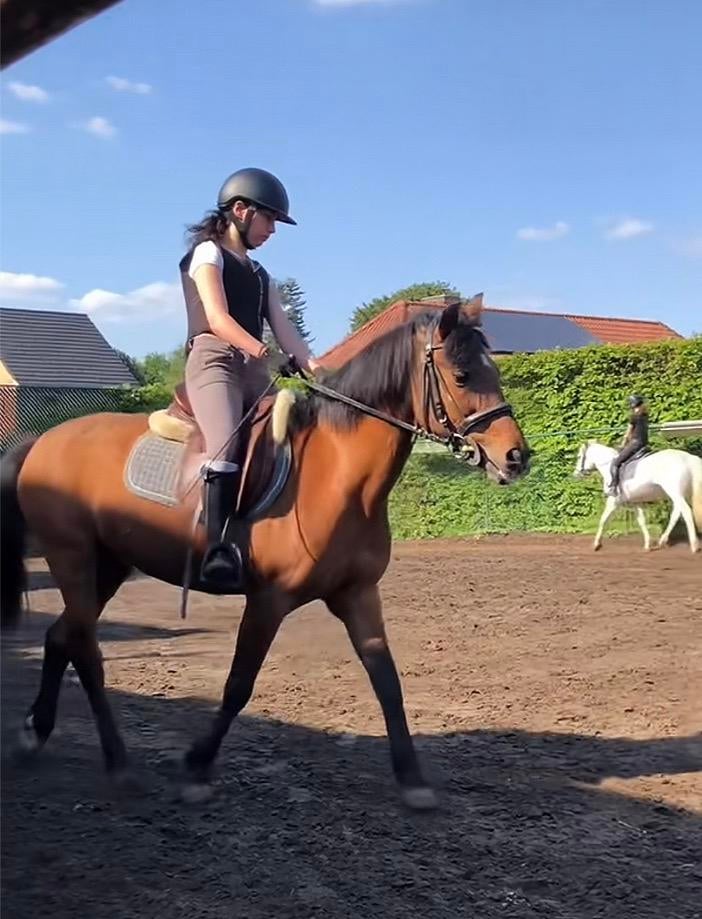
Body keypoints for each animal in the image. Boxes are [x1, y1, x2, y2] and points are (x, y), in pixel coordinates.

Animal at [0, 297, 529, 809]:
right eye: (462, 376)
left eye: (496, 371)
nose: (516, 458)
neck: (337, 476)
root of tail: (43, 440)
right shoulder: (268, 601)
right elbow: (239, 684)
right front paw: (197, 768)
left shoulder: (357, 593)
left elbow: (387, 681)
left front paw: (413, 780)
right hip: (73, 557)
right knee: (86, 650)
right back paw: (117, 763)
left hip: (108, 565)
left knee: (61, 637)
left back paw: (35, 733)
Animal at [573, 441, 702, 554]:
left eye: (579, 457)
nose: (576, 474)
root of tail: (689, 458)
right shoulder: (635, 502)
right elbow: (642, 521)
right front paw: (647, 545)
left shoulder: (613, 501)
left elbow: (603, 520)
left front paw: (596, 544)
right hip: (680, 495)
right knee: (676, 513)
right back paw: (662, 541)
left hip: (675, 493)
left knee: (686, 512)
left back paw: (694, 545)